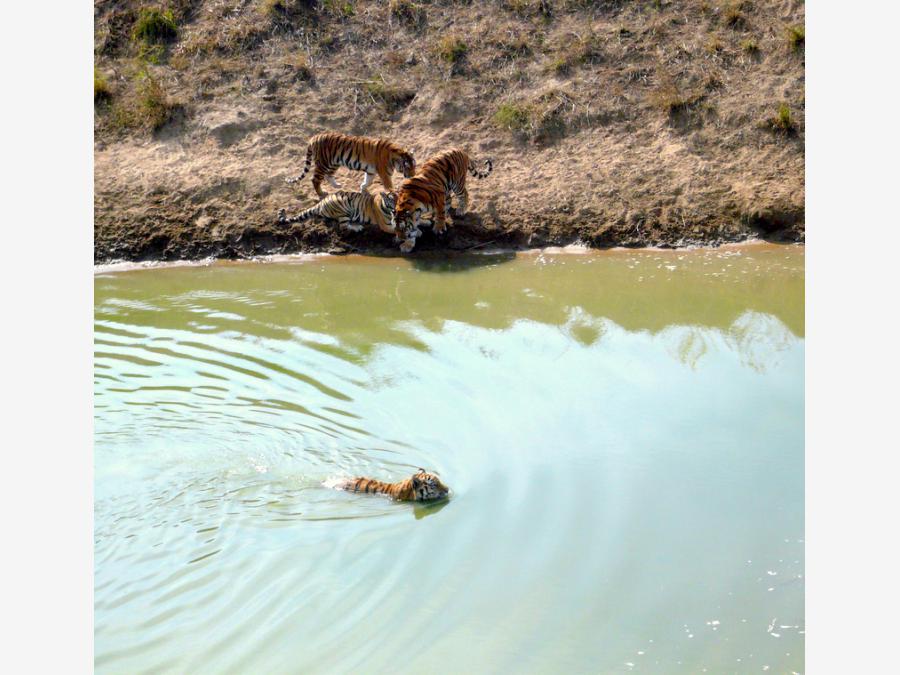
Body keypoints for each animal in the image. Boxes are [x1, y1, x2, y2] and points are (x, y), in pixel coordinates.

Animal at [284, 131, 418, 197]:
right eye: (407, 167)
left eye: (414, 166)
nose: (413, 176)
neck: (395, 155)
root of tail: (314, 137)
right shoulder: (385, 174)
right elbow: (389, 186)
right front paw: (394, 194)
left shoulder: (371, 171)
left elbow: (368, 181)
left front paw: (363, 189)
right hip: (323, 163)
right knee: (315, 179)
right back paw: (322, 193)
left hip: (333, 163)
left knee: (328, 175)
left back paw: (337, 186)